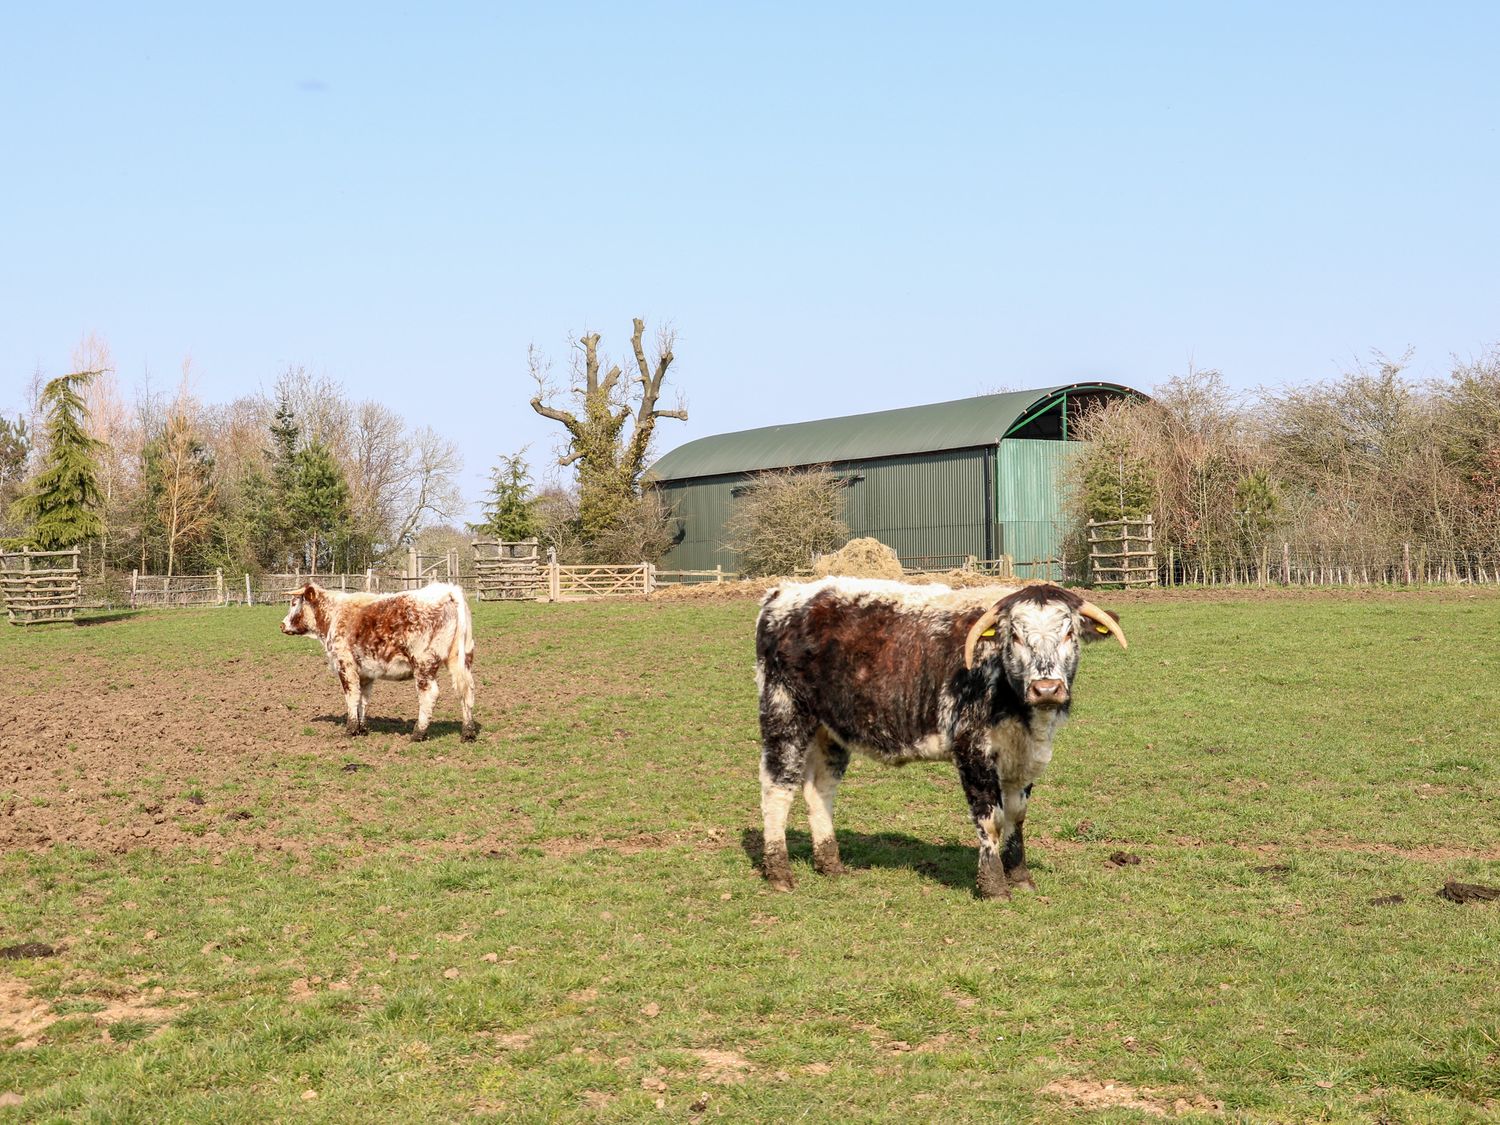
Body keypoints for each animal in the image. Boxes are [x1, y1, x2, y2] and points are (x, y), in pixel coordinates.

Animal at [277, 585, 474, 744]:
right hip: (461, 659)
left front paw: (350, 729)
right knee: (466, 691)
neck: (333, 615)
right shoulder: (365, 672)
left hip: (423, 663)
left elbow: (352, 697)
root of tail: (447, 590)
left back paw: (418, 733)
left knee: (430, 694)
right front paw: (362, 728)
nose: (282, 625)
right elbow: (363, 699)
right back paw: (468, 733)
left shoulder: (345, 665)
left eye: (294, 603)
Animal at [750, 582, 1128, 900]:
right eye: (1015, 636)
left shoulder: (1023, 758)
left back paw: (831, 865)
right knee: (777, 789)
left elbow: (1016, 816)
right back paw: (780, 873)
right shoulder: (973, 750)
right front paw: (994, 887)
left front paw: (1020, 877)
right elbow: (991, 819)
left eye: (1069, 632)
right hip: (785, 713)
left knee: (820, 791)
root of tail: (784, 592)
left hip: (830, 731)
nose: (1046, 688)